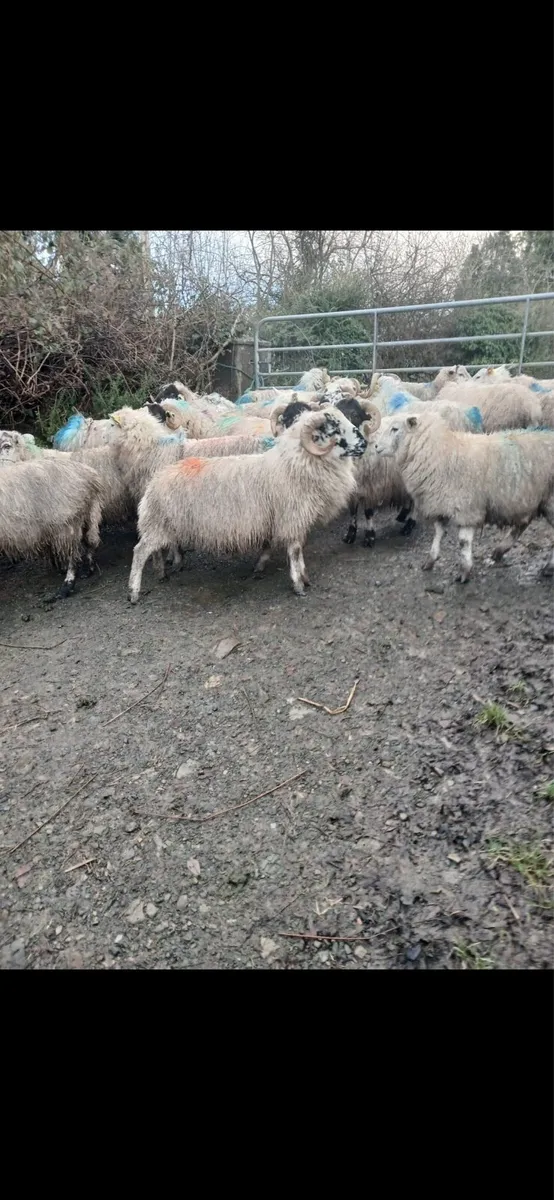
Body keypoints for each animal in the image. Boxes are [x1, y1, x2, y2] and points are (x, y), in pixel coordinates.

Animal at [0, 457, 102, 596]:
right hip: (88, 513)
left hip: (66, 522)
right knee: (90, 541)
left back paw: (66, 586)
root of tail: (89, 476)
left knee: (73, 555)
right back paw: (88, 569)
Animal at [127, 406, 369, 604]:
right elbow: (295, 551)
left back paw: (162, 573)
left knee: (155, 551)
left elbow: (290, 550)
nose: (364, 444)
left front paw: (303, 578)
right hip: (157, 523)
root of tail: (154, 480)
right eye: (334, 429)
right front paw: (299, 585)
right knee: (140, 552)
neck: (294, 465)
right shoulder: (291, 518)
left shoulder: (291, 521)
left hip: (163, 524)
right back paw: (134, 592)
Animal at [374, 410, 554, 581]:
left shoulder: (467, 507)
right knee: (523, 523)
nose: (375, 446)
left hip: (549, 501)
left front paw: (464, 571)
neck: (441, 453)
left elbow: (463, 542)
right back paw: (500, 551)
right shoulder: (440, 504)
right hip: (530, 499)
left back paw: (547, 567)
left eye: (395, 429)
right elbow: (438, 534)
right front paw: (431, 560)